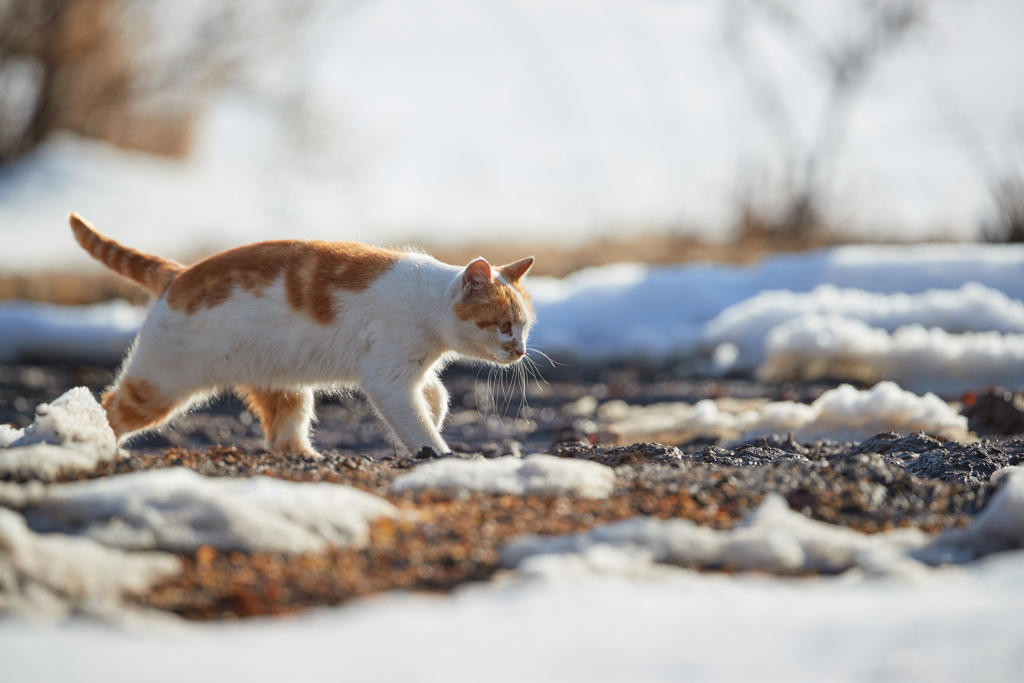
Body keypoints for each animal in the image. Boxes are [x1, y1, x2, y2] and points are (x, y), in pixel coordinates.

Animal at [70, 211, 536, 458]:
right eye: (503, 325)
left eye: (525, 325)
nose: (520, 350)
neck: (427, 301)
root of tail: (179, 273)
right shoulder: (387, 381)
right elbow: (420, 422)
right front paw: (434, 454)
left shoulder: (412, 373)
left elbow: (437, 398)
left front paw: (413, 439)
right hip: (160, 384)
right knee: (112, 407)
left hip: (286, 389)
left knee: (282, 438)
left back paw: (311, 459)